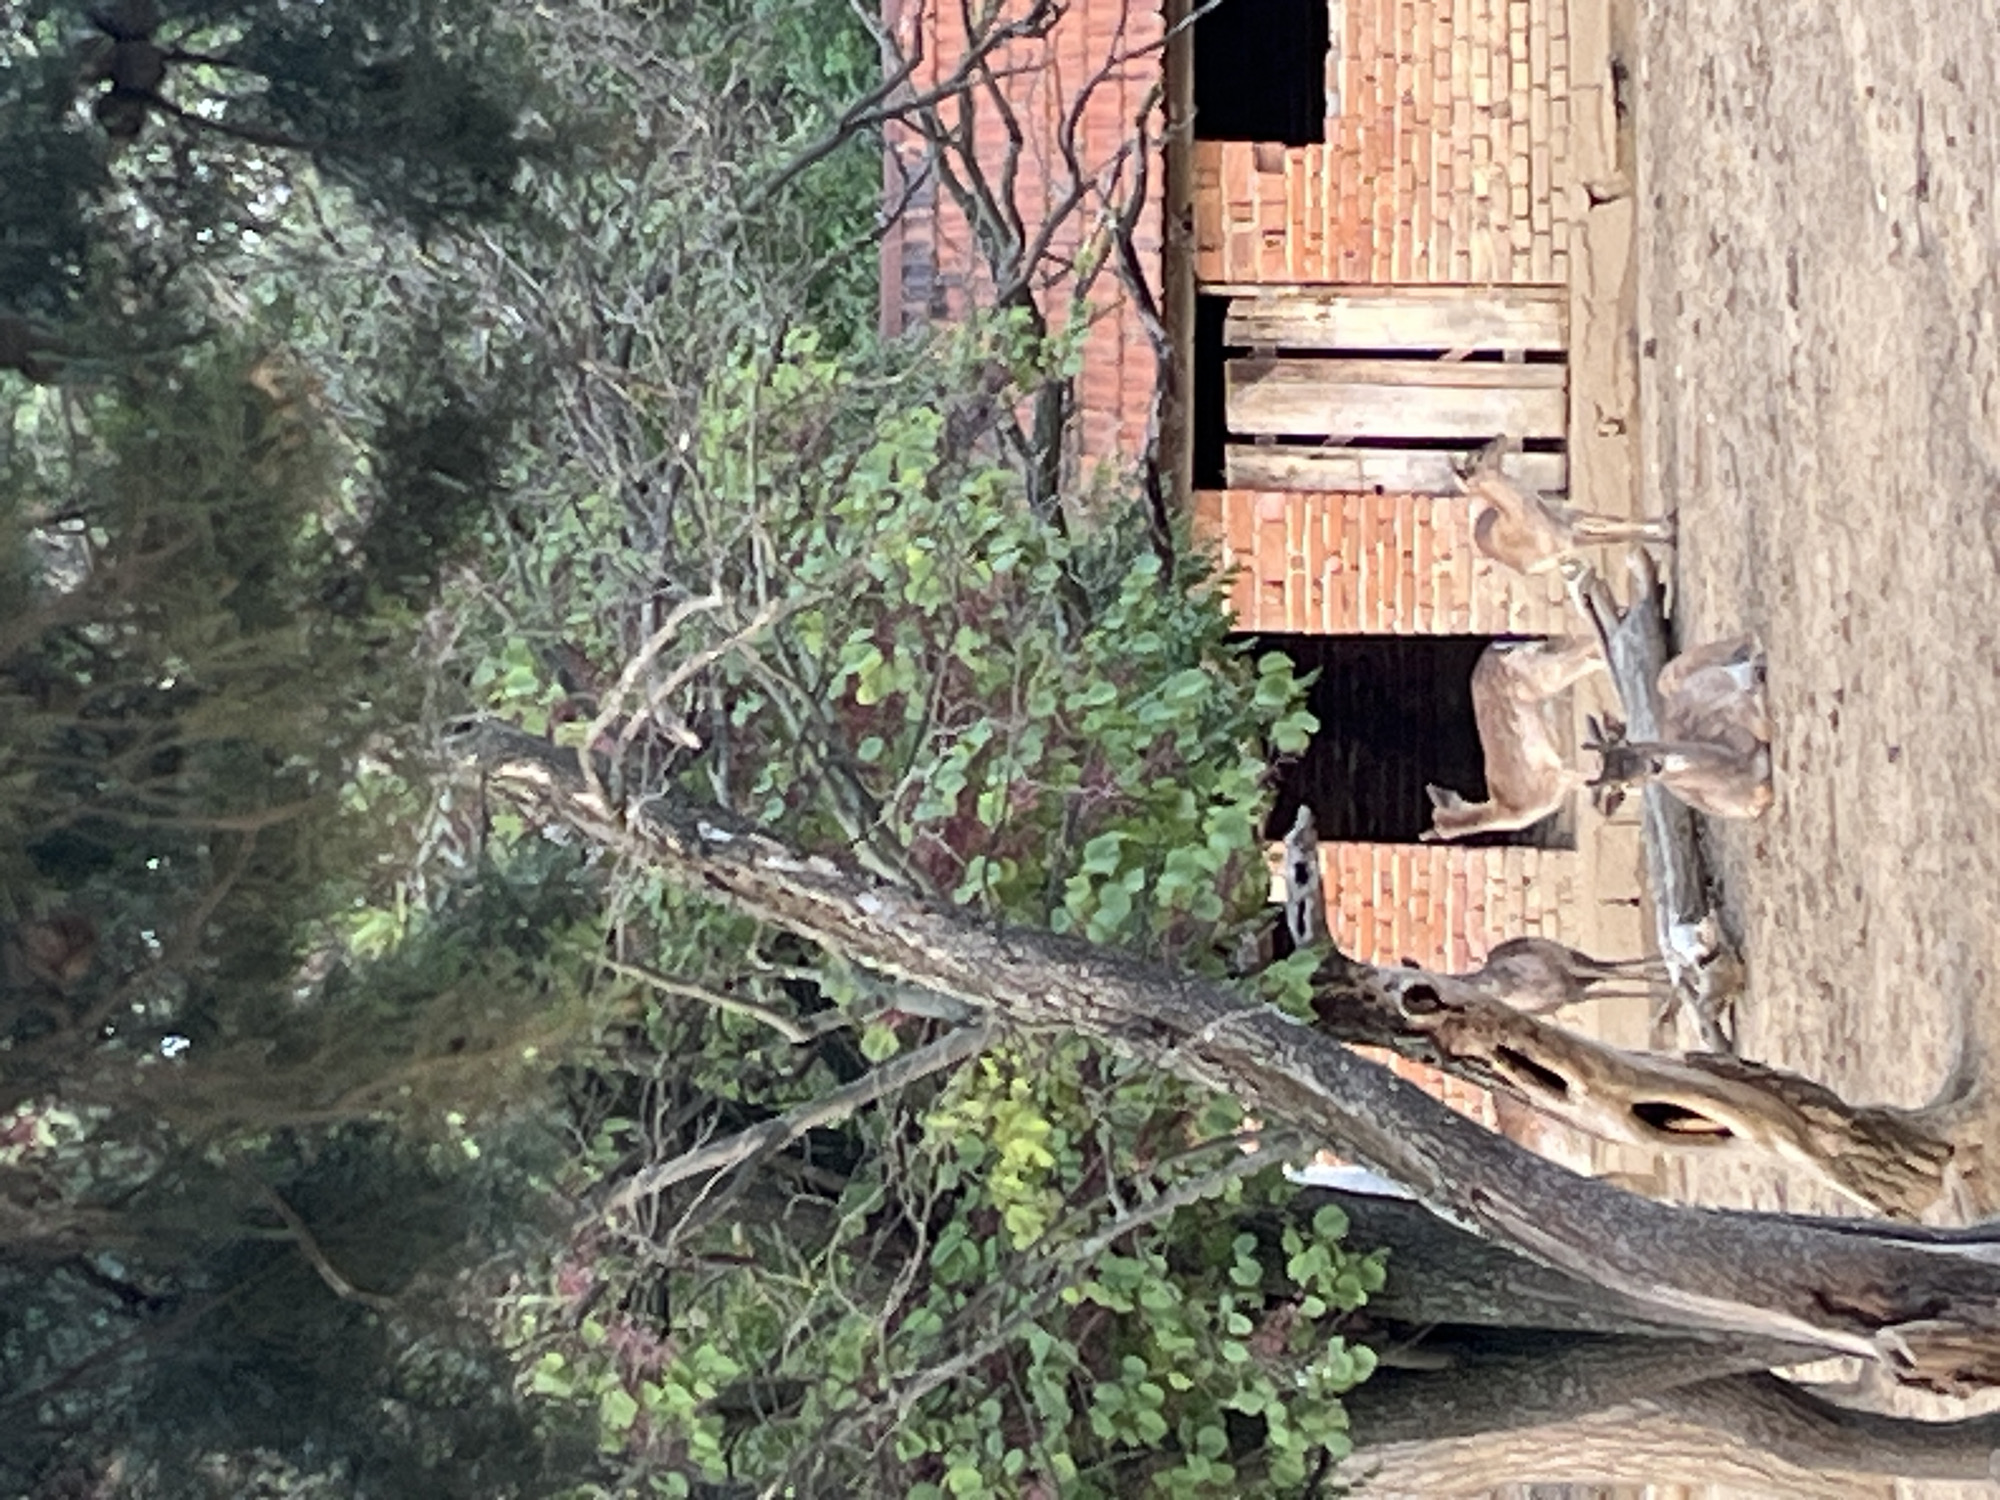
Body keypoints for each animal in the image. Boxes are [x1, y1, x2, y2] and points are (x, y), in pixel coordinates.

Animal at [1422, 635, 1605, 842]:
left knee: (1578, 657)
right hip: (1540, 669)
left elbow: (1593, 777)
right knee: (1579, 657)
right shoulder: (1558, 778)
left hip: (1540, 677)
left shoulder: (1554, 779)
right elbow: (1589, 780)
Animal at [1454, 435, 1675, 576]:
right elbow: (1615, 537)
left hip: (1567, 514)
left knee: (1608, 520)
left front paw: (1666, 530)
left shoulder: (1568, 530)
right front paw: (1668, 536)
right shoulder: (1570, 540)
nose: (1500, 436)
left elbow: (1615, 526)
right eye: (1478, 456)